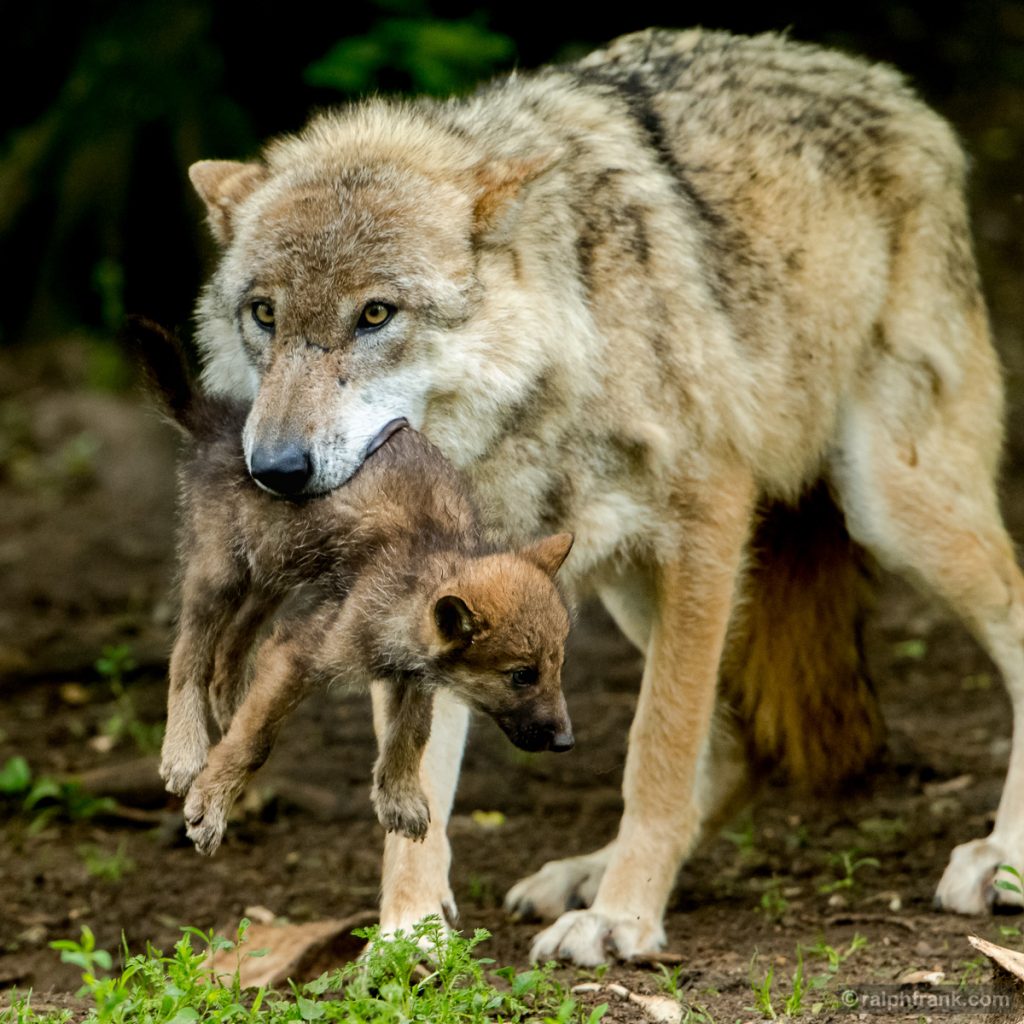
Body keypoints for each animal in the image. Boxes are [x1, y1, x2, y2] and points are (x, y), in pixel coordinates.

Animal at [131, 318, 574, 853]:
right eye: (521, 675)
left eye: (558, 665)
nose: (567, 742)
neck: (416, 573)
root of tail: (220, 418)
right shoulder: (298, 653)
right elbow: (256, 740)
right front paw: (210, 805)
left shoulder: (409, 672)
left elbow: (412, 732)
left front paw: (399, 798)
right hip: (221, 572)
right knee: (188, 654)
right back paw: (184, 751)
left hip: (275, 568)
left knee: (234, 643)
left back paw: (229, 702)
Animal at [184, 27, 1021, 964]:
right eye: (263, 314)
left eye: (375, 314)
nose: (276, 469)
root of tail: (884, 86)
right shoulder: (435, 595)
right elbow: (417, 787)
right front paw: (407, 936)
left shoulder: (708, 521)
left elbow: (655, 748)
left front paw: (622, 920)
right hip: (632, 584)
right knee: (742, 745)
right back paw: (586, 872)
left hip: (886, 510)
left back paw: (1002, 856)